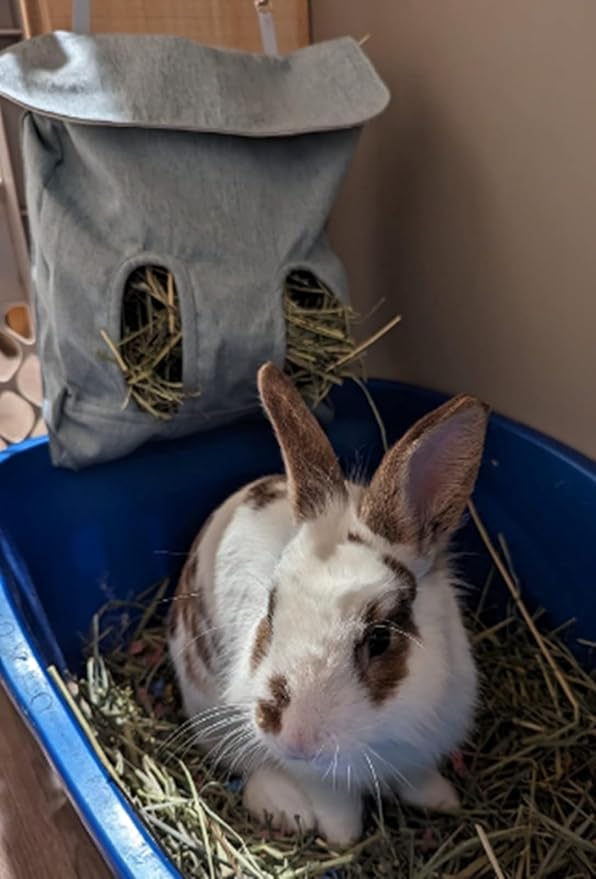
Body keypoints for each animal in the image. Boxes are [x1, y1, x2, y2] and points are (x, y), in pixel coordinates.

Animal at [167, 362, 488, 847]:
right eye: (270, 613)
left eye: (379, 638)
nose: (296, 739)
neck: (381, 737)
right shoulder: (316, 775)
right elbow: (335, 805)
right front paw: (343, 838)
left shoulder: (425, 743)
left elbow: (417, 777)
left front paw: (442, 800)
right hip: (209, 709)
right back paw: (286, 810)